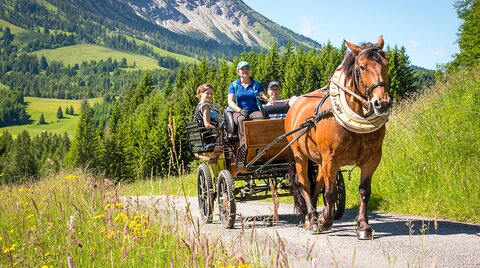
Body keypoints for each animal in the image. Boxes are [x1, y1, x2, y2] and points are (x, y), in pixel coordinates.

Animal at [284, 35, 392, 239]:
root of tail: (295, 104)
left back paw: (313, 216)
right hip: (300, 155)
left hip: (319, 160)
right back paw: (312, 220)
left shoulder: (373, 158)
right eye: (362, 67)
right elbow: (331, 193)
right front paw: (325, 221)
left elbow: (364, 191)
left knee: (316, 184)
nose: (382, 103)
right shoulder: (331, 158)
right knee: (305, 185)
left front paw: (363, 226)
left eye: (386, 64)